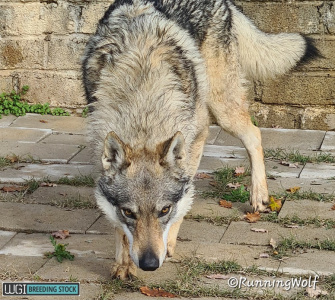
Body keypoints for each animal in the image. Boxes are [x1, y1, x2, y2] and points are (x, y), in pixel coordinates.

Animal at [82, 0, 320, 278]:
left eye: (164, 210)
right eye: (128, 212)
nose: (150, 263)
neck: (143, 100)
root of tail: (227, 4)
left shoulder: (189, 142)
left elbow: (184, 200)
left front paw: (168, 243)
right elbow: (119, 228)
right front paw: (123, 264)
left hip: (222, 109)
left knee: (254, 134)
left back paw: (259, 195)